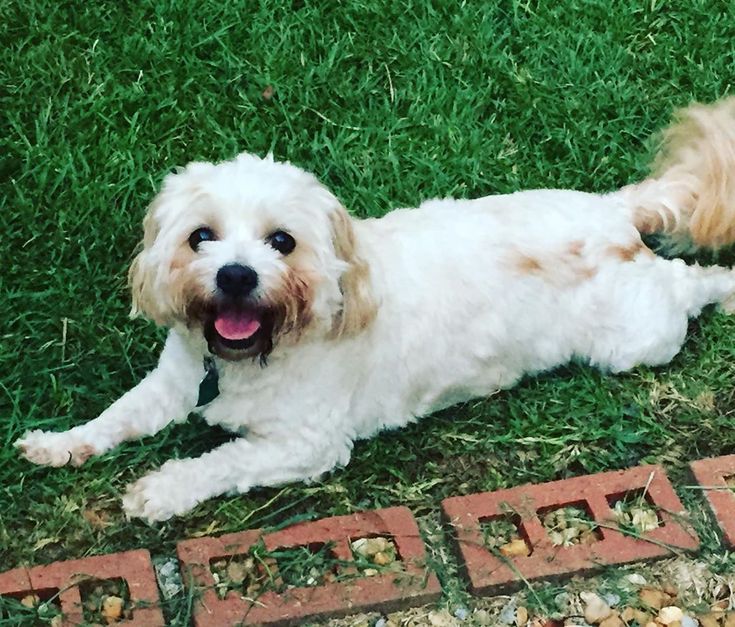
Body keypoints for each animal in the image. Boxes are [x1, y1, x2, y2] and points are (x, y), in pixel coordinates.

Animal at [14, 98, 735, 524]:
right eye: (201, 236)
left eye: (282, 241)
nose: (236, 275)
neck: (252, 356)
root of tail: (612, 211)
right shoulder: (171, 381)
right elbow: (116, 415)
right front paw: (59, 443)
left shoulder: (307, 444)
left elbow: (220, 462)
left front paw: (160, 490)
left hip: (637, 337)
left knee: (688, 283)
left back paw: (724, 287)